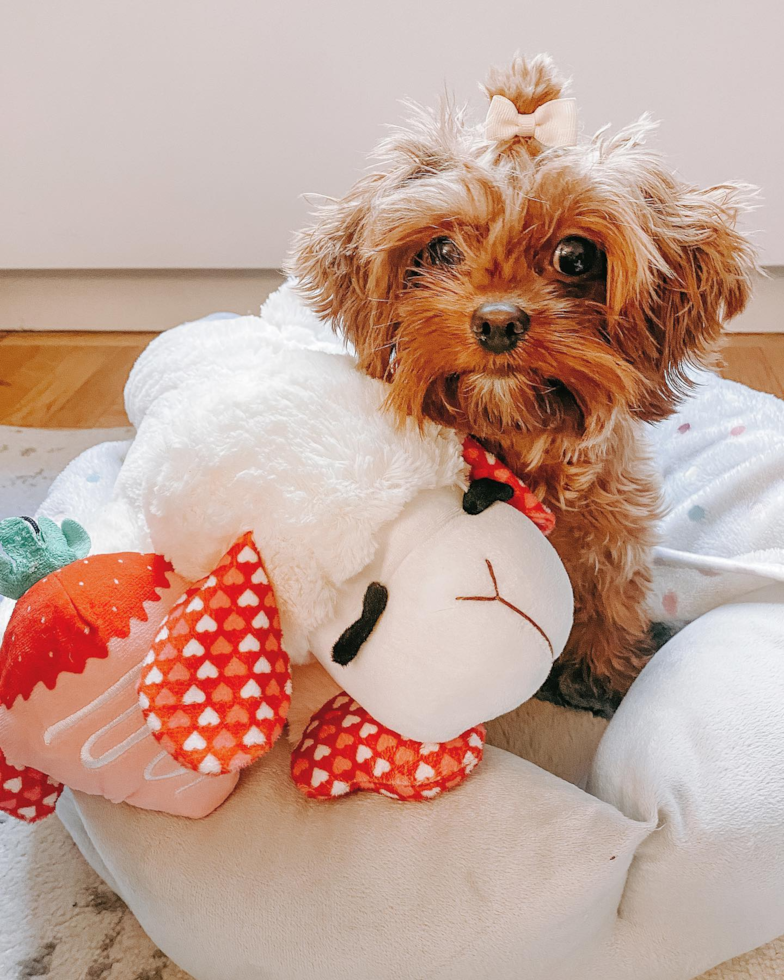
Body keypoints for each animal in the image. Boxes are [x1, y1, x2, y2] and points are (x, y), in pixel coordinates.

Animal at [290, 55, 760, 720]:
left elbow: (611, 589)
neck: (521, 440)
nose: (496, 322)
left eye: (575, 256)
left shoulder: (615, 521)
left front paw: (604, 672)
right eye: (441, 249)